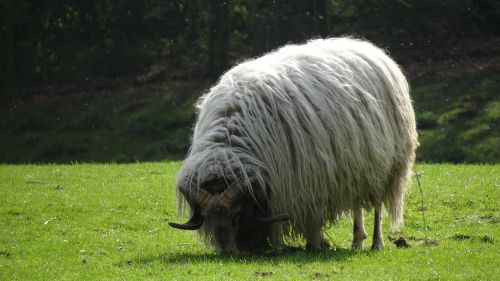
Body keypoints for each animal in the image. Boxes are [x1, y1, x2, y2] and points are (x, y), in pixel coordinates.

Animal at [169, 37, 418, 254]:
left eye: (236, 213)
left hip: (384, 166)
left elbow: (294, 220)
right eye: (206, 215)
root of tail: (369, 48)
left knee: (376, 205)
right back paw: (357, 241)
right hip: (356, 167)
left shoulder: (297, 184)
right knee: (357, 203)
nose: (227, 252)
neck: (230, 144)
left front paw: (306, 245)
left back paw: (376, 243)